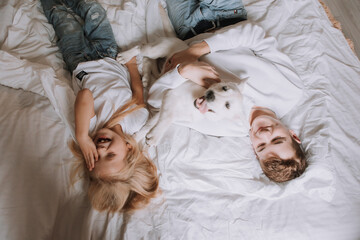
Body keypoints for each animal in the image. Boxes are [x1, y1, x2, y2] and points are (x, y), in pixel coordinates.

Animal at [116, 38, 246, 146]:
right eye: (224, 88)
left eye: (227, 106)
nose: (210, 95)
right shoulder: (170, 96)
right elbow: (167, 118)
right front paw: (154, 136)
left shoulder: (164, 110)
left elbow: (150, 125)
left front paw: (136, 139)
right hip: (157, 49)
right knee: (141, 48)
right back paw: (125, 56)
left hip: (159, 66)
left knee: (149, 62)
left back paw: (146, 78)